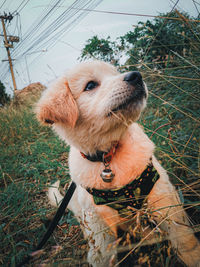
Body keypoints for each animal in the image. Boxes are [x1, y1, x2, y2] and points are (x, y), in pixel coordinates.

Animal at [36, 61, 200, 267]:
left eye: (115, 73)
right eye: (90, 85)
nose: (136, 76)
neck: (109, 156)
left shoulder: (164, 199)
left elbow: (185, 240)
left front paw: (193, 258)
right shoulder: (99, 224)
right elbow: (103, 257)